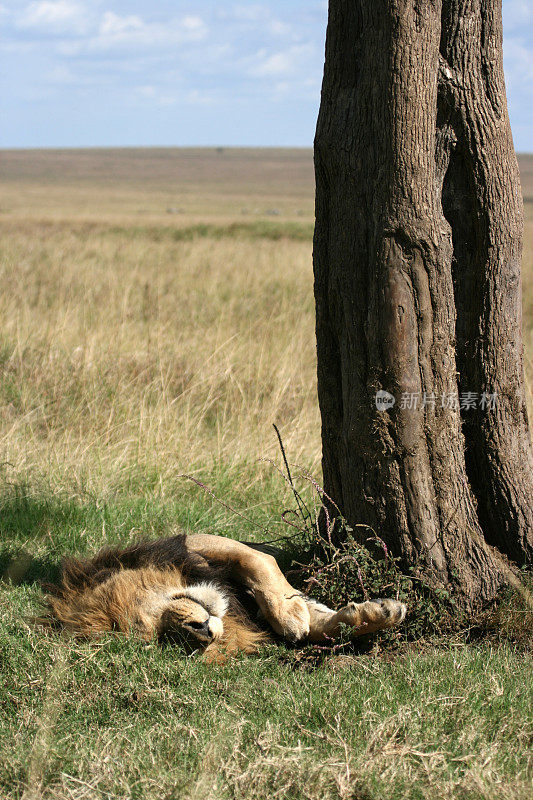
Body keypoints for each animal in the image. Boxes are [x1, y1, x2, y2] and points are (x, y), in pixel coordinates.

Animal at [42, 536, 408, 660]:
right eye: (164, 641)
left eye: (144, 621)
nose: (200, 632)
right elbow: (321, 626)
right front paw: (378, 614)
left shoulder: (194, 541)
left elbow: (260, 561)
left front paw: (289, 614)